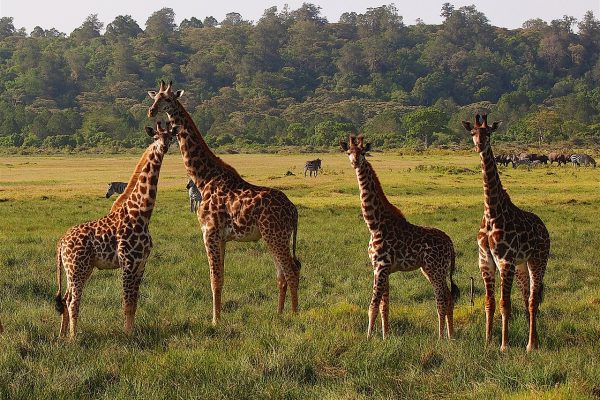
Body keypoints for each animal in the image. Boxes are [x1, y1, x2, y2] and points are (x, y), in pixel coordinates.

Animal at [53, 122, 176, 338]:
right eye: (155, 137)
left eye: (170, 137)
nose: (163, 147)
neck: (141, 213)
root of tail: (61, 241)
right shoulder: (128, 262)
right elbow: (126, 303)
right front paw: (127, 336)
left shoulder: (141, 264)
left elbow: (134, 304)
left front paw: (132, 332)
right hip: (76, 267)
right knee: (73, 301)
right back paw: (74, 338)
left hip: (80, 268)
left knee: (66, 298)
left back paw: (62, 336)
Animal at [148, 81, 302, 324]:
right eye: (154, 98)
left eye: (169, 99)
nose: (151, 111)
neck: (204, 178)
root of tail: (294, 210)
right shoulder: (222, 237)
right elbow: (221, 277)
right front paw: (217, 317)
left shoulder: (209, 232)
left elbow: (214, 278)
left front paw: (215, 321)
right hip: (276, 237)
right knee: (282, 274)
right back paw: (278, 314)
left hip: (275, 235)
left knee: (291, 270)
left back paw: (294, 316)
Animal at [338, 136, 460, 340]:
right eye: (348, 152)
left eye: (363, 152)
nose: (355, 162)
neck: (374, 224)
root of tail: (450, 244)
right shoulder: (381, 269)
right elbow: (384, 306)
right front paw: (385, 336)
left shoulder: (381, 267)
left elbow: (372, 305)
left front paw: (368, 338)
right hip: (432, 270)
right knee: (449, 298)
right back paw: (450, 336)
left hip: (435, 269)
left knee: (442, 299)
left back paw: (441, 337)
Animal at [462, 114, 552, 352]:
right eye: (472, 132)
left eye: (488, 133)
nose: (479, 145)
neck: (491, 212)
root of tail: (545, 228)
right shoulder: (486, 261)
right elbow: (489, 302)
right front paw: (487, 341)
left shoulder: (505, 261)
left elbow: (505, 304)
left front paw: (504, 345)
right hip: (521, 265)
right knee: (527, 297)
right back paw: (536, 341)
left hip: (538, 260)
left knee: (532, 300)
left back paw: (530, 345)